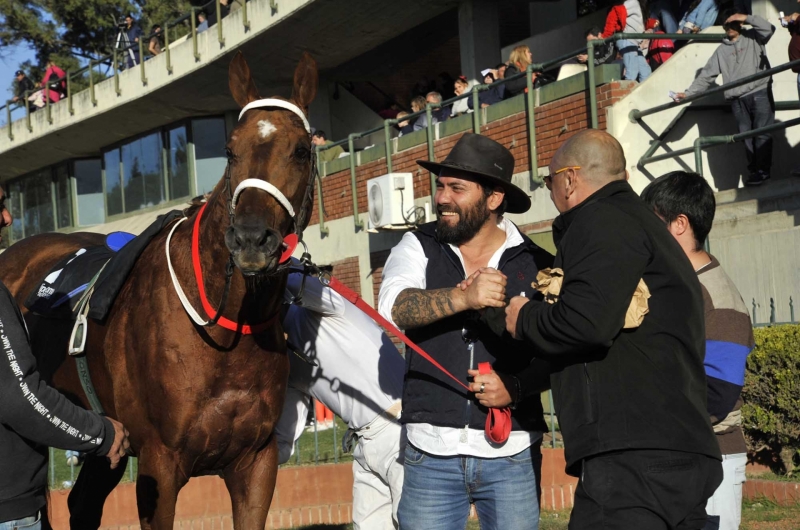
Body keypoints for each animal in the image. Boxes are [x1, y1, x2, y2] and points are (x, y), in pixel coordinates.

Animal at [0, 50, 318, 528]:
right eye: (230, 150)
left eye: (300, 150)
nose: (250, 239)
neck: (224, 328)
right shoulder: (159, 467)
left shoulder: (257, 463)